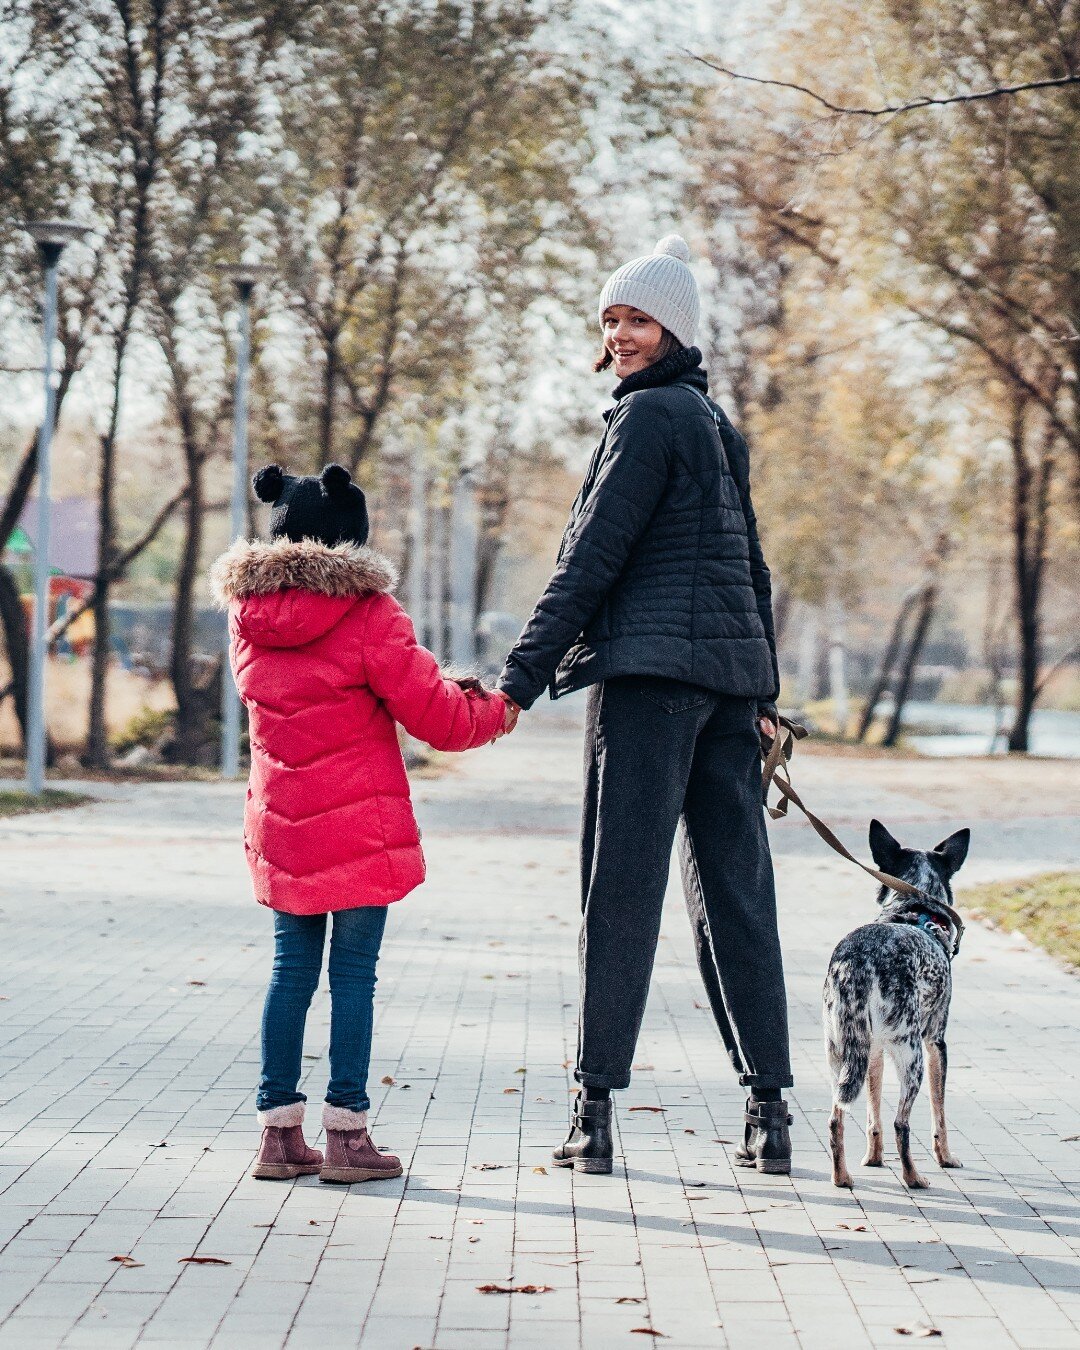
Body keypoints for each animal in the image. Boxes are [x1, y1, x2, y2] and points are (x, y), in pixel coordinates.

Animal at [826, 815, 972, 1188]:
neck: (911, 909)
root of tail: (860, 962)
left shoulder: (874, 1051)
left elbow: (873, 1114)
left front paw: (873, 1159)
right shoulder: (936, 1043)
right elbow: (939, 1113)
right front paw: (946, 1157)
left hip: (841, 1054)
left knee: (837, 1118)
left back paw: (842, 1176)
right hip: (912, 1054)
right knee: (901, 1123)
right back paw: (914, 1177)